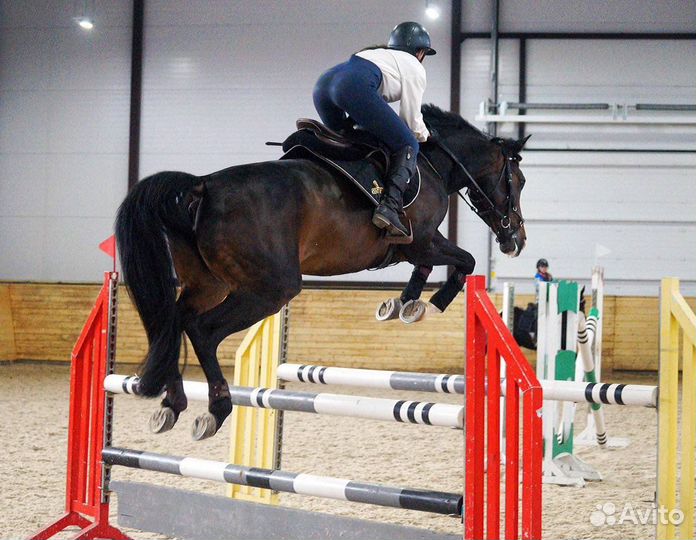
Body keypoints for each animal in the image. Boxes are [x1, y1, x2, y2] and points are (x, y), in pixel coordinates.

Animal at [115, 104, 530, 440]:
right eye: (520, 181)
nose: (517, 240)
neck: (433, 165)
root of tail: (203, 186)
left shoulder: (418, 244)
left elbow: (435, 265)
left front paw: (401, 305)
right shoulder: (421, 240)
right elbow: (464, 261)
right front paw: (426, 305)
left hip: (210, 285)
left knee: (174, 321)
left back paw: (172, 404)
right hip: (270, 289)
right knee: (202, 329)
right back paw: (216, 410)